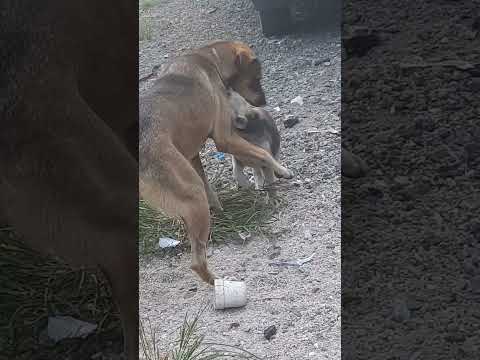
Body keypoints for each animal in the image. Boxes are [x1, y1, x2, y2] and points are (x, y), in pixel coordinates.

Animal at [137, 41, 290, 284]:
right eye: (256, 77)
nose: (264, 102)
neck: (208, 57)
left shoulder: (192, 155)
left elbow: (211, 189)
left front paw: (220, 209)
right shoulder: (224, 139)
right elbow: (262, 154)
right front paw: (281, 170)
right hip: (192, 192)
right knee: (196, 262)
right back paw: (218, 281)